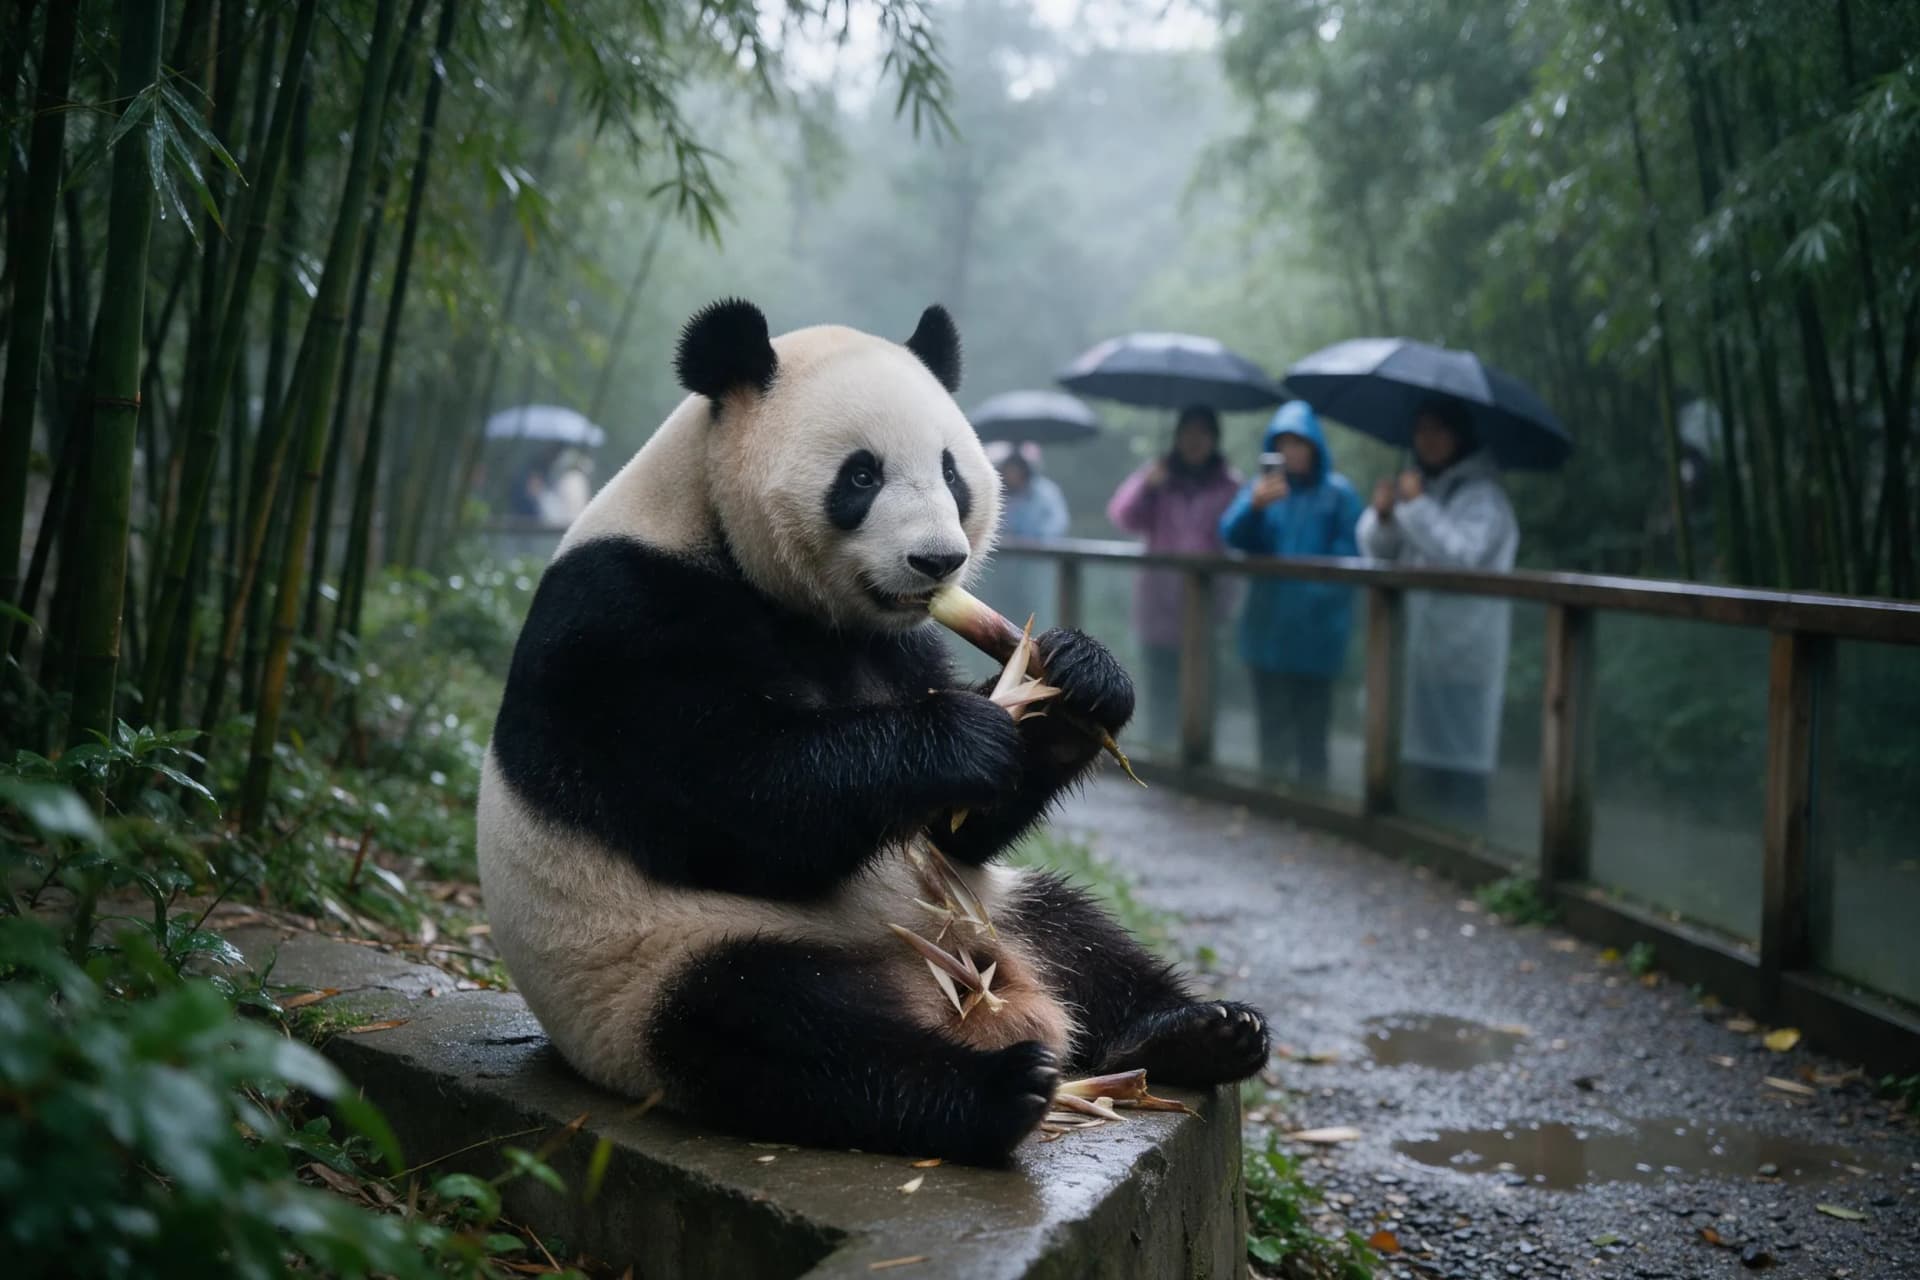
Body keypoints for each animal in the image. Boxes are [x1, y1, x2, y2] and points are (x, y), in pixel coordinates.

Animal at [476, 299, 1270, 1166]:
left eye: (953, 472)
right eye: (861, 476)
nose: (938, 561)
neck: (713, 528)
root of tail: (974, 992)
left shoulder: (896, 644)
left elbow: (960, 831)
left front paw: (1078, 679)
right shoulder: (625, 619)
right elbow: (734, 805)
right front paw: (962, 737)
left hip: (984, 907)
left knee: (1078, 935)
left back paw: (1200, 1032)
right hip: (653, 966)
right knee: (776, 1030)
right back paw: (999, 1089)